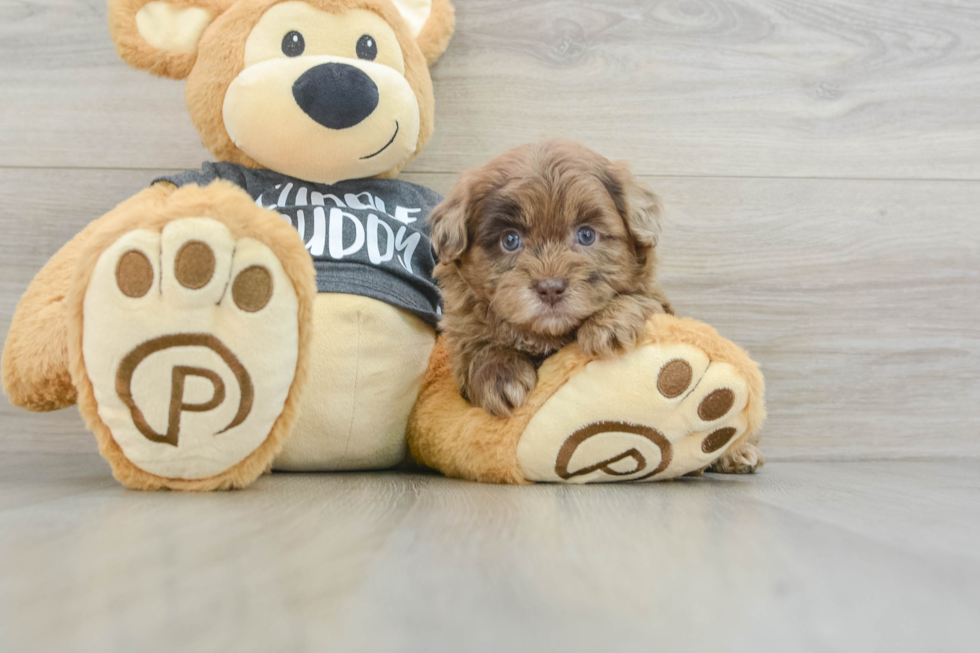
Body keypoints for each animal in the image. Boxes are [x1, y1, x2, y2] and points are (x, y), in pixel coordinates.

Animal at [430, 141, 672, 418]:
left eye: (586, 235)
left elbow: (640, 300)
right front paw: (500, 376)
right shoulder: (464, 338)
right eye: (510, 240)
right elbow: (478, 348)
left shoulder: (660, 303)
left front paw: (609, 323)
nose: (550, 288)